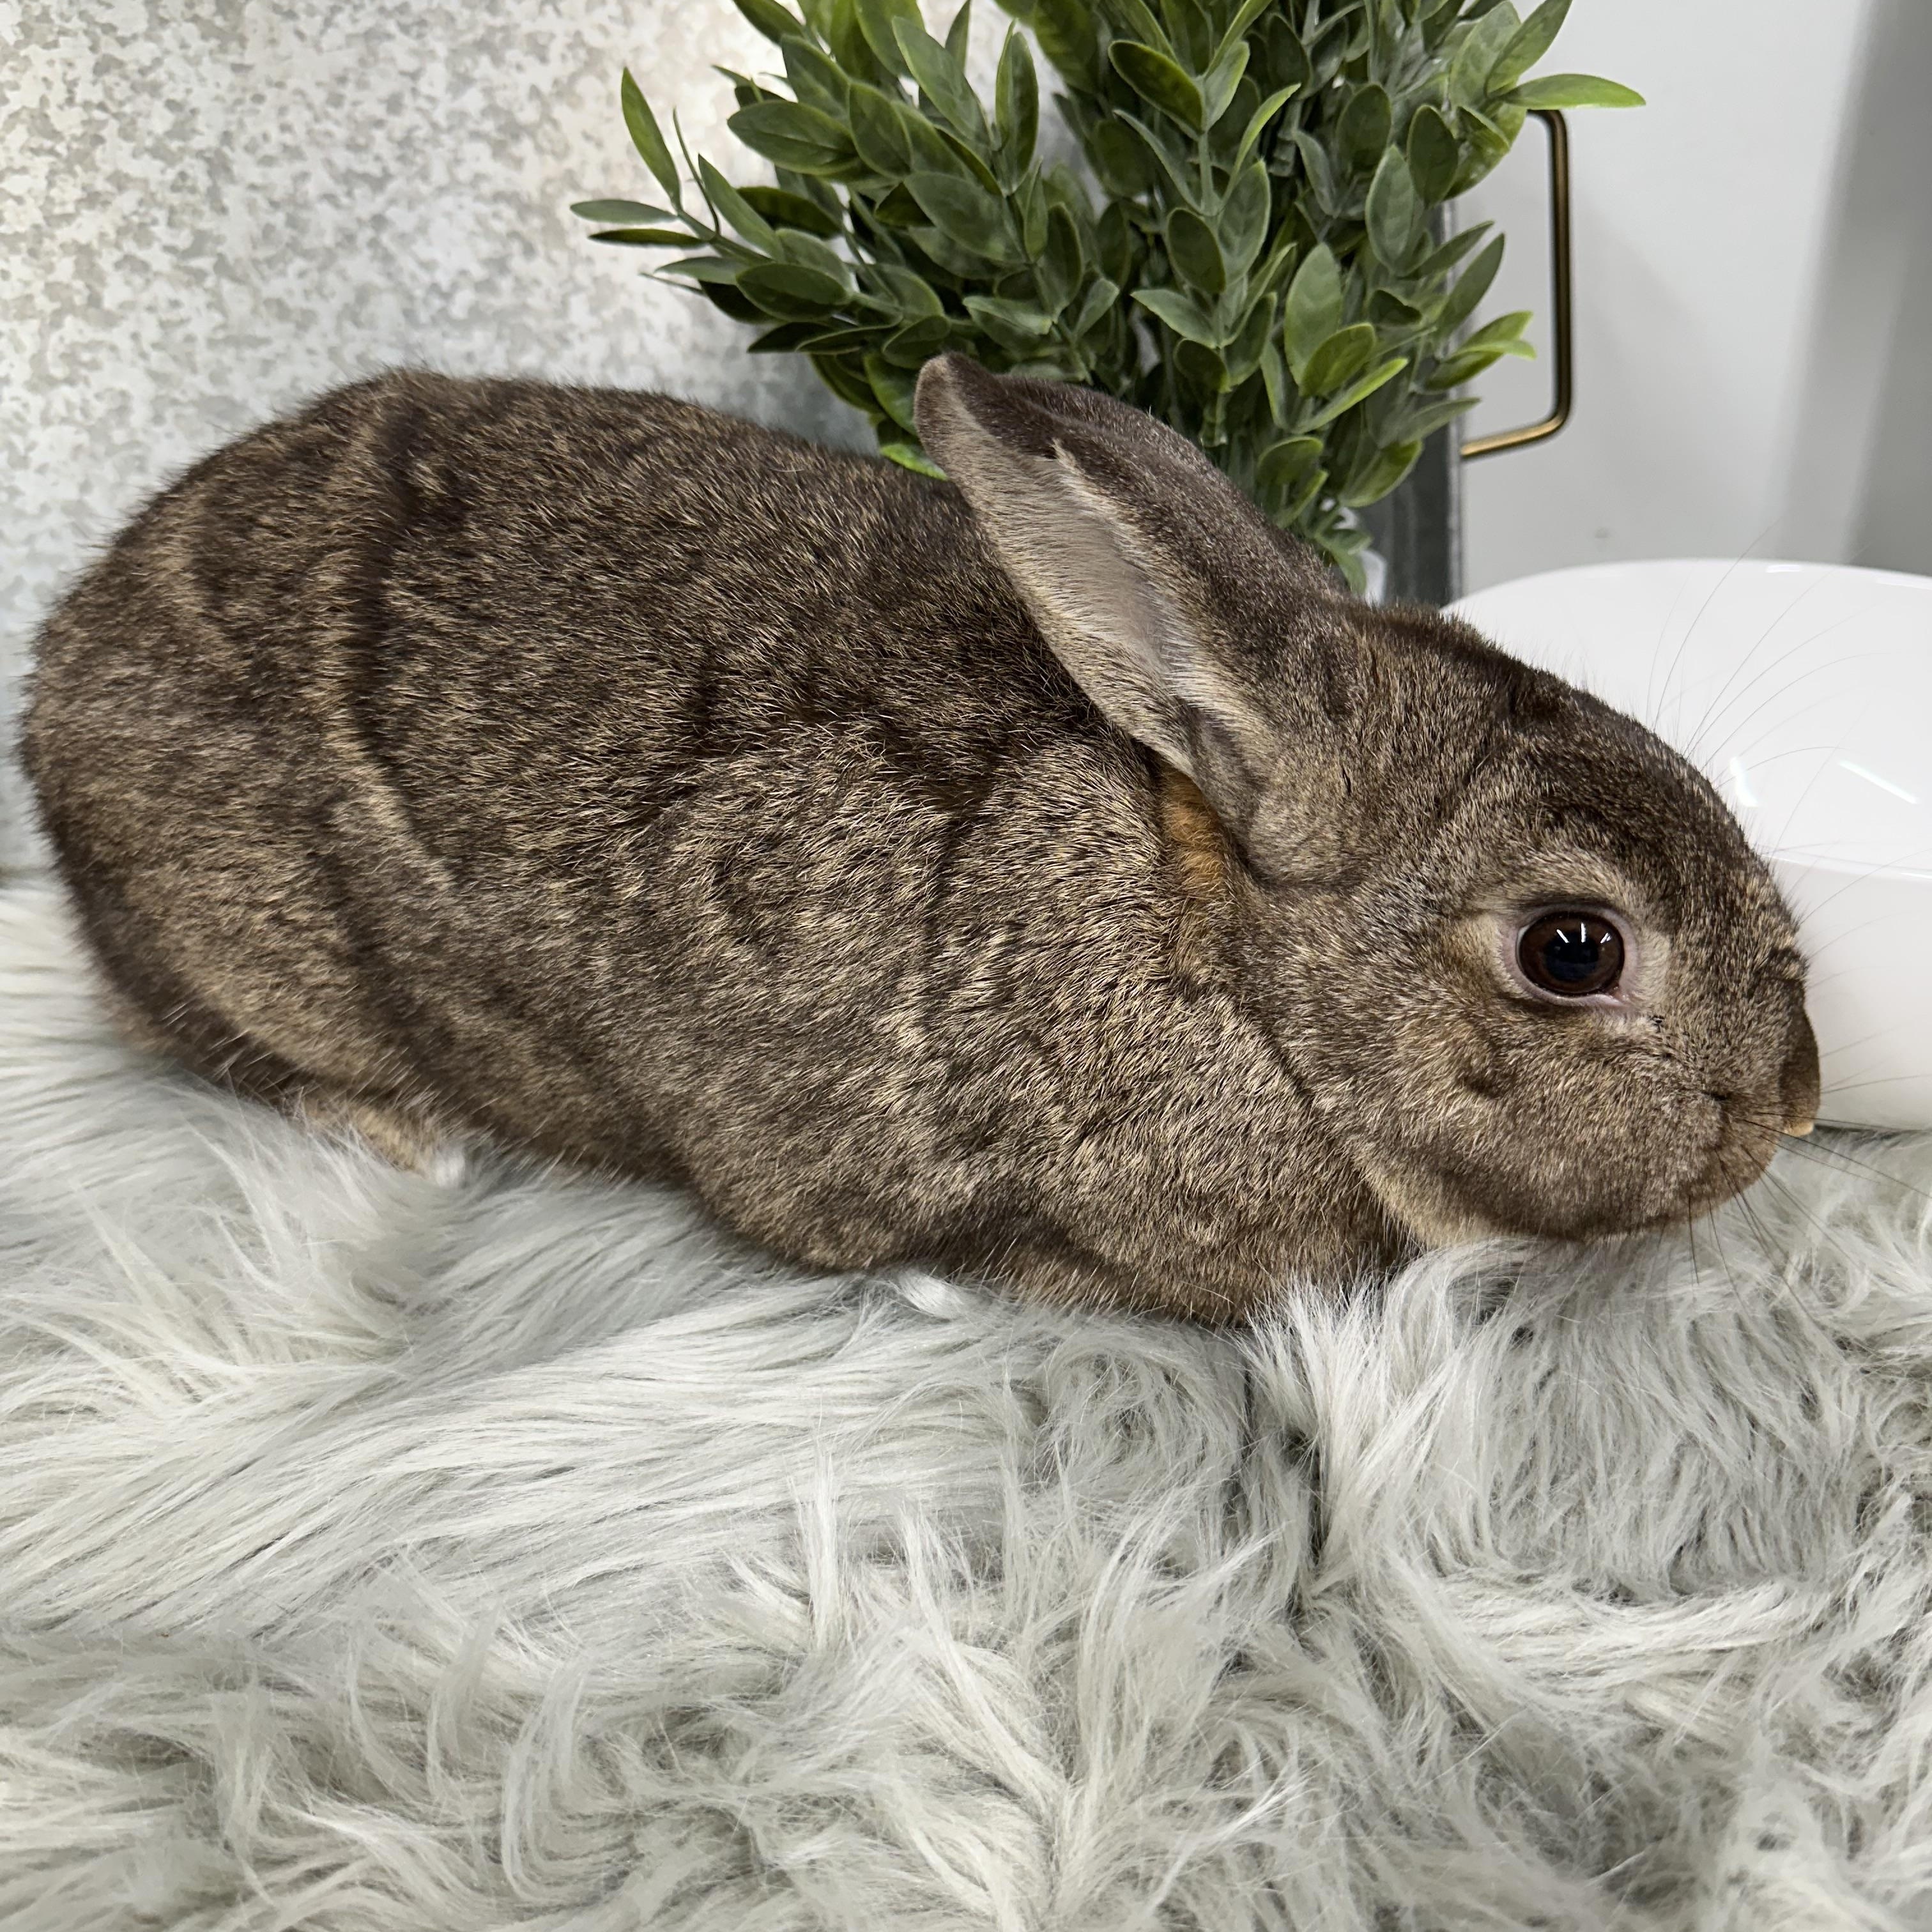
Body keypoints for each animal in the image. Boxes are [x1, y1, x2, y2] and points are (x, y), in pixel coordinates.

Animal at [22, 354, 1820, 1321]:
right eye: (1573, 949)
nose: (1792, 1104)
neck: (1240, 975)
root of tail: (65, 668)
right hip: (225, 931)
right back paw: (398, 1130)